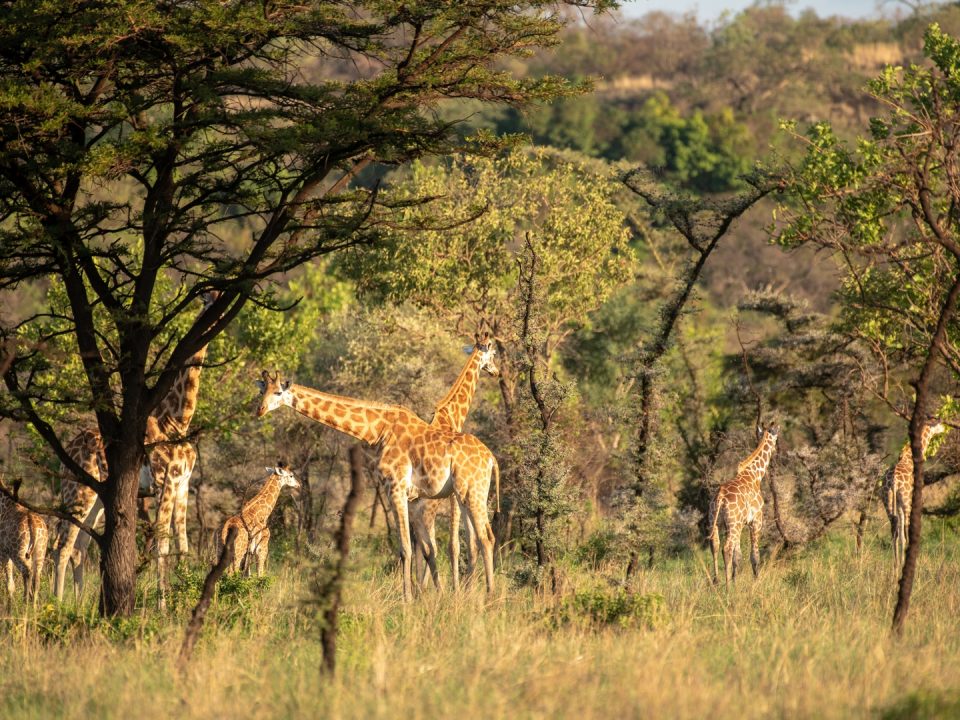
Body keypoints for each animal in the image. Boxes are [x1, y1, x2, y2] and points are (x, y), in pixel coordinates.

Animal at [251, 372, 498, 600]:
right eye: (261, 391)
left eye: (278, 392)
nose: (260, 410)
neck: (379, 430)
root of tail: (491, 458)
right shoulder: (412, 498)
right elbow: (425, 548)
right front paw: (432, 596)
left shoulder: (395, 489)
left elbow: (405, 548)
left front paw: (407, 599)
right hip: (466, 495)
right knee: (477, 539)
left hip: (472, 492)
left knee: (486, 538)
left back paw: (490, 598)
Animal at [410, 332, 502, 592]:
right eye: (493, 353)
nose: (497, 372)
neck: (450, 416)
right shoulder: (453, 494)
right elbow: (457, 544)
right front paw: (460, 589)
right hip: (429, 506)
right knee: (428, 545)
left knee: (417, 544)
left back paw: (418, 590)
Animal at [704, 424, 780, 588]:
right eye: (776, 439)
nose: (776, 450)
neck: (755, 475)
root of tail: (720, 498)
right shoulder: (756, 521)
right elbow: (754, 555)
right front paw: (756, 581)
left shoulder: (740, 524)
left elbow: (737, 556)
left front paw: (735, 581)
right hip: (733, 524)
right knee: (726, 548)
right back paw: (726, 586)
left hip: (717, 521)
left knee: (715, 545)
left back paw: (716, 581)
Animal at [880, 420, 948, 572]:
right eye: (938, 423)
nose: (945, 428)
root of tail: (893, 481)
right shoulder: (915, 498)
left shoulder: (899, 504)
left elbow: (900, 534)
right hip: (906, 500)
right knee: (905, 528)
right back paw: (903, 564)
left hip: (887, 499)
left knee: (894, 528)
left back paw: (895, 566)